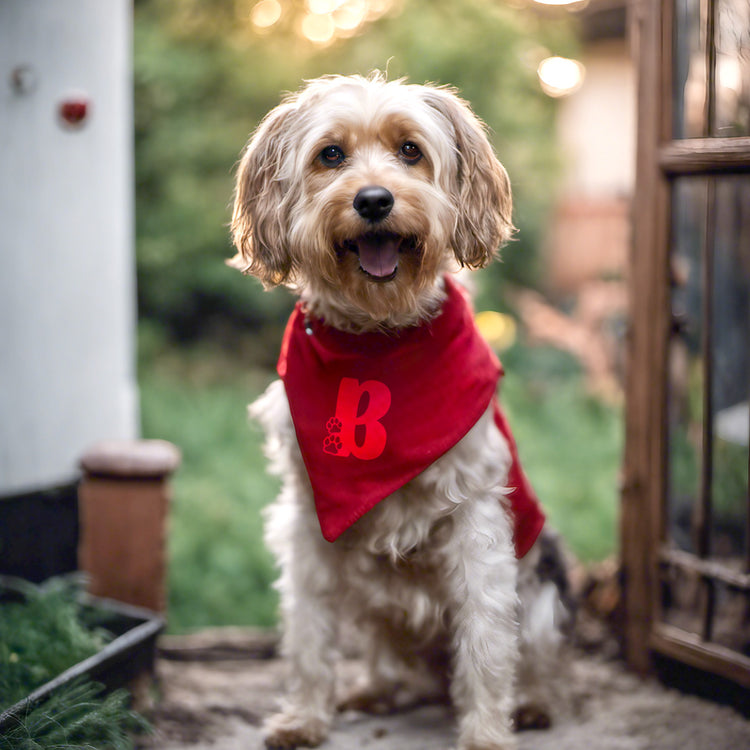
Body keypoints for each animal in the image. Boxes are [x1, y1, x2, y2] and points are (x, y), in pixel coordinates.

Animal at [232, 72, 572, 750]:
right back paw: (377, 685)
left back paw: (531, 703)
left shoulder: (477, 518)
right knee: (385, 646)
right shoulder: (306, 519)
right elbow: (307, 632)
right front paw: (304, 717)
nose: (372, 200)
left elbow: (486, 641)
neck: (378, 336)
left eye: (411, 150)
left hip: (545, 582)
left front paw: (486, 732)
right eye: (330, 155)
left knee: (534, 652)